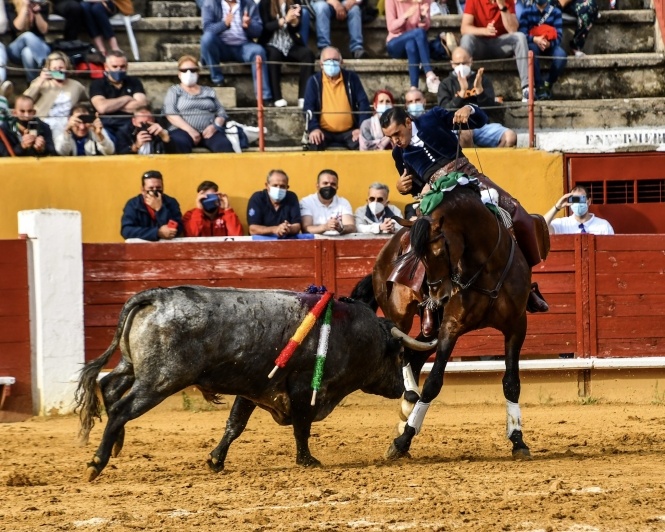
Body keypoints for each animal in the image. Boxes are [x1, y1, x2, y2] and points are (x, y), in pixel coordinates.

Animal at [72, 286, 404, 482]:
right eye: (398, 355)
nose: (403, 388)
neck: (348, 333)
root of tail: (156, 296)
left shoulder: (253, 390)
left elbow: (235, 425)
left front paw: (215, 460)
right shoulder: (301, 388)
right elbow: (302, 426)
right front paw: (307, 460)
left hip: (133, 367)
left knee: (110, 387)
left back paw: (116, 444)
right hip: (160, 380)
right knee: (120, 409)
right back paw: (96, 462)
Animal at [356, 180, 532, 462]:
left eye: (439, 251)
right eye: (419, 258)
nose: (440, 295)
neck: (488, 267)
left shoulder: (516, 326)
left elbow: (512, 383)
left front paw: (518, 440)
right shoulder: (451, 326)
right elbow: (433, 383)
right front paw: (402, 441)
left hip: (430, 329)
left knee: (413, 354)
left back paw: (407, 407)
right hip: (400, 316)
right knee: (402, 352)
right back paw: (409, 400)